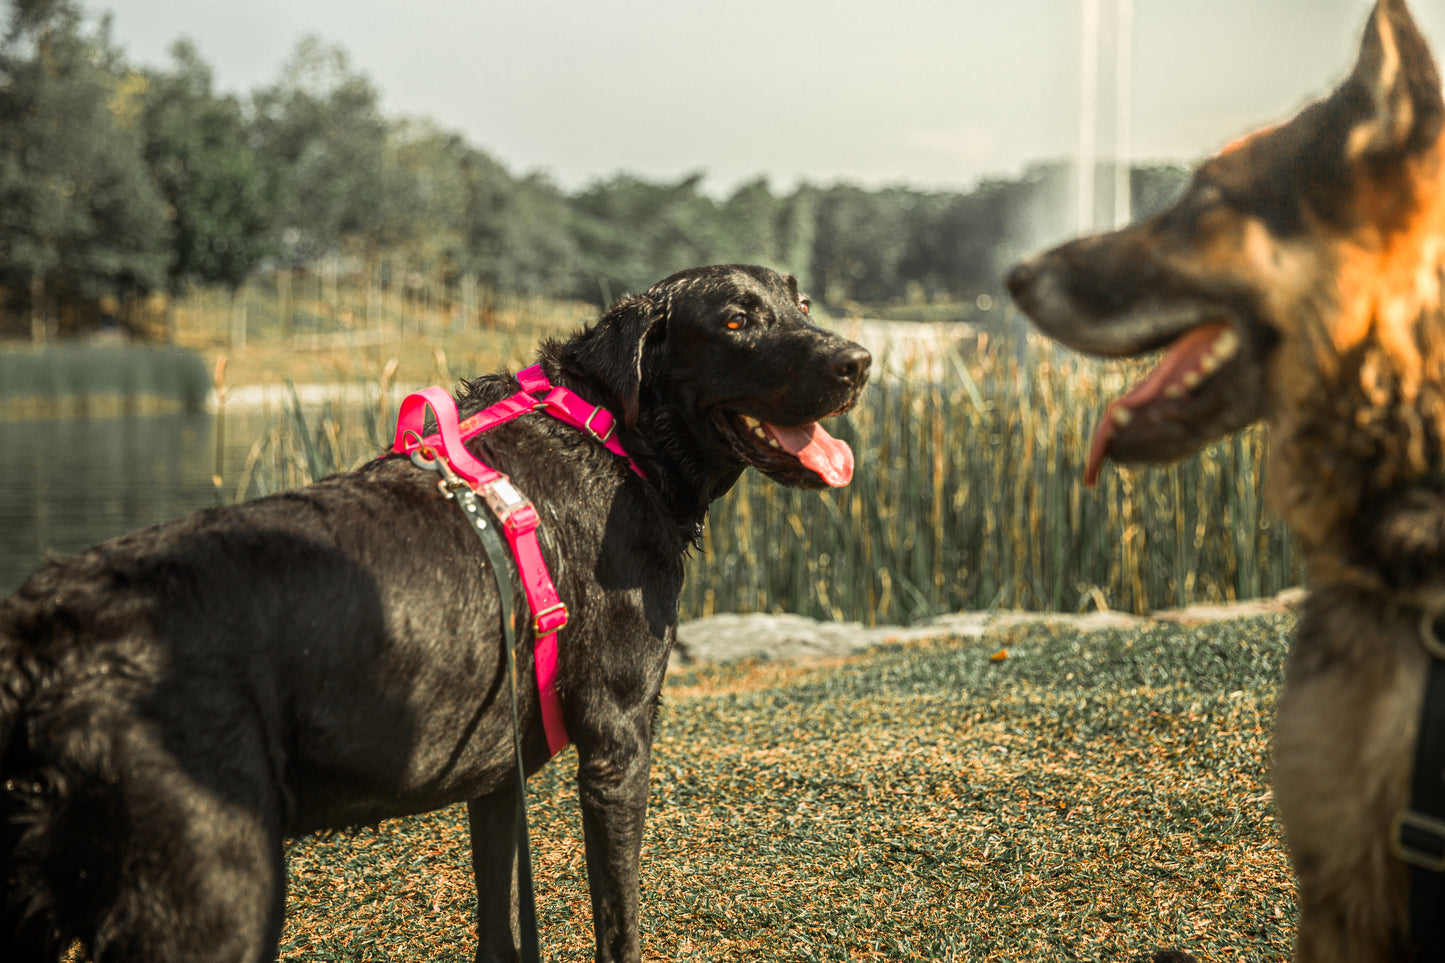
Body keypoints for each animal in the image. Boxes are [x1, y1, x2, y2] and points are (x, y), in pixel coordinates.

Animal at [0, 264, 867, 960]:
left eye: (801, 303)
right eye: (734, 322)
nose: (858, 360)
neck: (613, 433)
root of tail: (42, 644)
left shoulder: (495, 769)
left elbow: (499, 923)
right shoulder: (619, 743)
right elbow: (617, 922)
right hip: (216, 888)